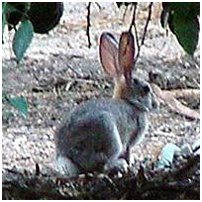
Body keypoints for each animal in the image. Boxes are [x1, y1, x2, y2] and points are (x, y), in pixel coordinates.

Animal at [54, 30, 158, 176]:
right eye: (146, 89)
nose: (156, 104)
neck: (130, 102)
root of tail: (66, 155)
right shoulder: (130, 140)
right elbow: (128, 151)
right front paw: (130, 163)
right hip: (108, 132)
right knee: (101, 165)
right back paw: (119, 165)